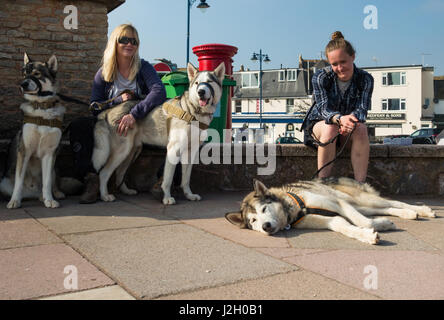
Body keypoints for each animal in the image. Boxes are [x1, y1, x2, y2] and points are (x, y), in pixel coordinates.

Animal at [0, 53, 65, 209]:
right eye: (24, 75)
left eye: (36, 74)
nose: (23, 84)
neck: (41, 108)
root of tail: (31, 193)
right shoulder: (24, 151)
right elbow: (18, 180)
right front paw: (14, 201)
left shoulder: (50, 153)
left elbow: (47, 182)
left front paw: (49, 200)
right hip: (3, 182)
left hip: (54, 168)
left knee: (51, 183)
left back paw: (51, 195)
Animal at [93, 61, 225, 204]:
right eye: (197, 83)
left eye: (209, 82)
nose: (201, 92)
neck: (193, 111)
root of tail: (109, 110)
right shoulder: (173, 149)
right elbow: (167, 179)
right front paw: (166, 198)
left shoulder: (190, 151)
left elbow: (186, 179)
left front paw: (189, 195)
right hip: (122, 151)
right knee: (104, 173)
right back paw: (105, 195)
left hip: (131, 152)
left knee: (119, 173)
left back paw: (126, 191)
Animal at [227, 178, 436, 245]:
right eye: (253, 221)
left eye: (264, 208)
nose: (266, 226)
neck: (295, 210)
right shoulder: (325, 218)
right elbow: (341, 224)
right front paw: (368, 234)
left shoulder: (339, 204)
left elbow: (363, 221)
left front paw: (379, 226)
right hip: (362, 205)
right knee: (389, 208)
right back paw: (408, 214)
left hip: (359, 200)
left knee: (394, 202)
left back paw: (422, 210)